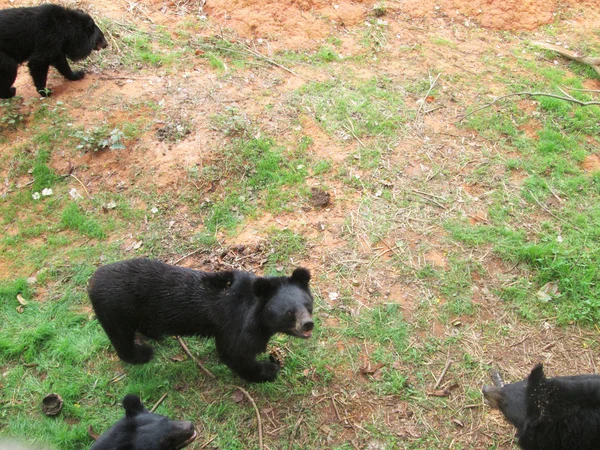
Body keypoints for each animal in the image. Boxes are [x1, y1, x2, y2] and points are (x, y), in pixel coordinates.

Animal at [89, 258, 314, 382]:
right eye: (289, 312)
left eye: (308, 305)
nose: (308, 324)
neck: (258, 316)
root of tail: (92, 281)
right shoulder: (235, 325)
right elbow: (234, 353)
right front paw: (268, 370)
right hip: (117, 311)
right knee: (122, 339)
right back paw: (143, 353)